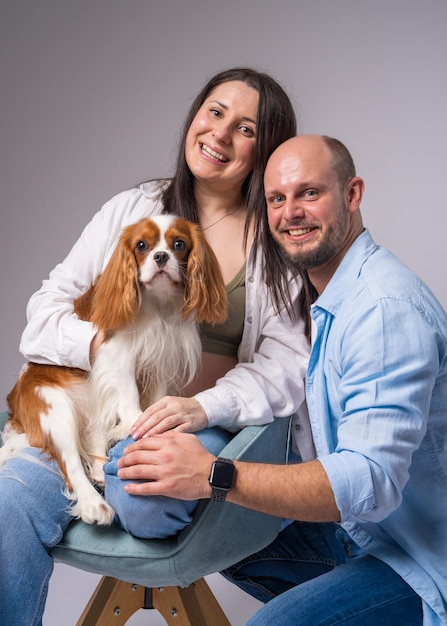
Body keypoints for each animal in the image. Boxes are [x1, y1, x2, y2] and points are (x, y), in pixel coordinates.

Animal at [0, 213, 228, 520]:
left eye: (179, 244)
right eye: (142, 245)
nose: (160, 256)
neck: (157, 305)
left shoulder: (161, 360)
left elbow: (156, 398)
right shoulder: (116, 355)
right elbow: (130, 396)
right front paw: (136, 425)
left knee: (93, 435)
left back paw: (99, 469)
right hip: (52, 406)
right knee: (70, 461)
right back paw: (93, 504)